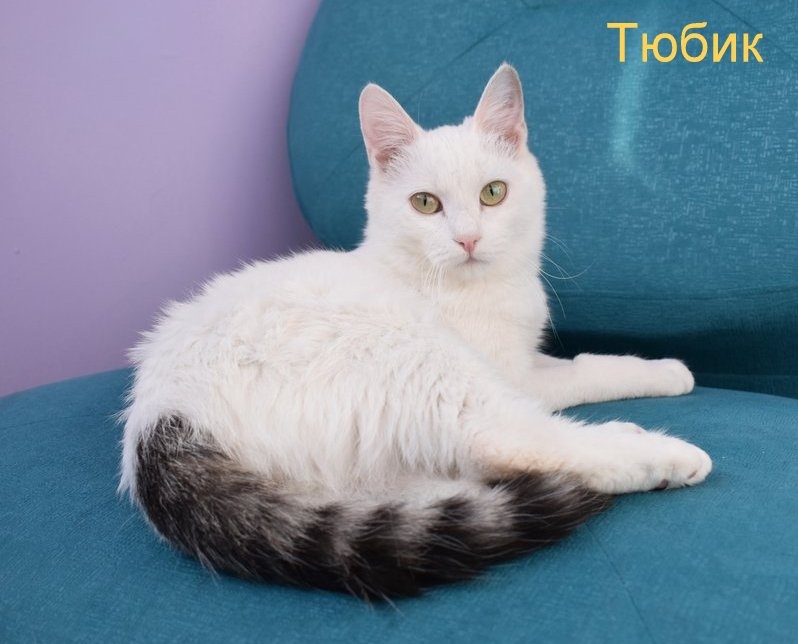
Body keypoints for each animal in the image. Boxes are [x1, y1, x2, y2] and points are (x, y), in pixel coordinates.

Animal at [120, 64, 711, 600]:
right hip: (420, 360)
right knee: (512, 439)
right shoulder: (512, 374)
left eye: (494, 193)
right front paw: (668, 373)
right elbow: (582, 372)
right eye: (425, 203)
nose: (468, 239)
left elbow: (577, 364)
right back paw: (657, 454)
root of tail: (160, 418)